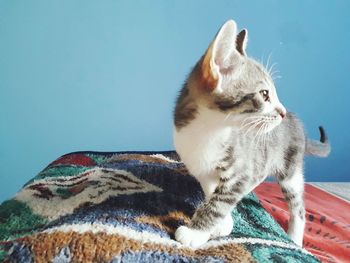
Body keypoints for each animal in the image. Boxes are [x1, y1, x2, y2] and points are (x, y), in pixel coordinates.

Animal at [173, 19, 330, 249]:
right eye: (264, 94)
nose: (282, 111)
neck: (208, 132)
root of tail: (295, 121)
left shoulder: (241, 169)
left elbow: (219, 201)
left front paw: (196, 232)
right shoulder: (203, 169)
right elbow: (214, 192)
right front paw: (222, 223)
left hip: (290, 171)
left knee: (298, 207)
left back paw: (294, 238)